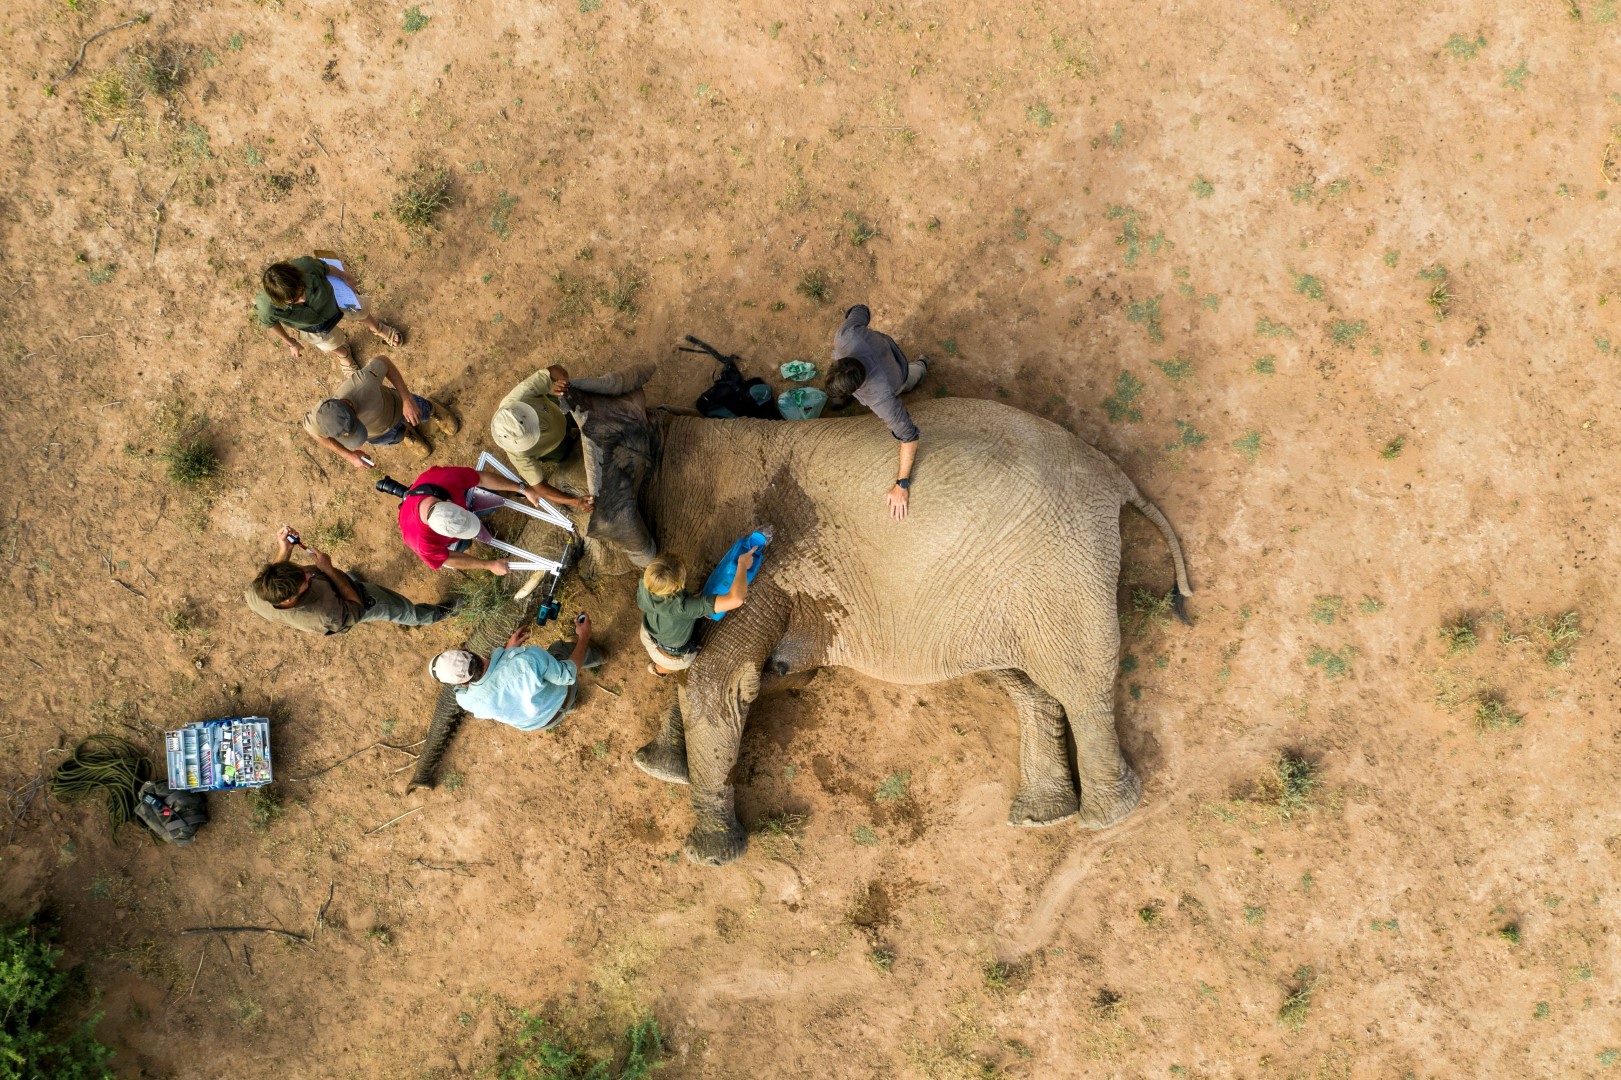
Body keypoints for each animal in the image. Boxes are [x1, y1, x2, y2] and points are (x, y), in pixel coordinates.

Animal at [567, 366, 1193, 862]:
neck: (667, 435)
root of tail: (1113, 477)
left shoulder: (754, 551)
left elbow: (719, 681)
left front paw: (710, 855)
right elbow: (708, 669)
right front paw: (657, 768)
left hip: (1060, 565)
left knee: (1078, 680)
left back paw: (1104, 819)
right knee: (1025, 682)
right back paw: (1045, 817)